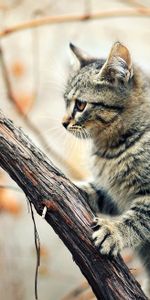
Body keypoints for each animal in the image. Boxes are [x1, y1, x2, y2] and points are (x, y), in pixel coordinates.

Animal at [61, 41, 150, 298]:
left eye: (80, 105)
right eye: (65, 102)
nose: (63, 122)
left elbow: (137, 219)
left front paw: (114, 231)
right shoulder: (114, 193)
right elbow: (99, 192)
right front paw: (76, 188)